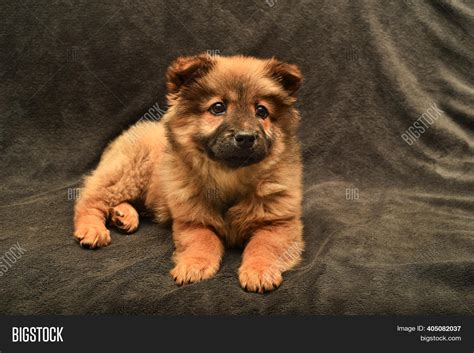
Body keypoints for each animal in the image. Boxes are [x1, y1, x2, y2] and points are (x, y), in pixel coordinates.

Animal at [74, 54, 304, 292]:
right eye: (218, 107)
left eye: (261, 111)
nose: (246, 137)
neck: (229, 176)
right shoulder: (193, 221)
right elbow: (203, 241)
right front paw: (194, 265)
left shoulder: (279, 223)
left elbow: (263, 246)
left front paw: (259, 271)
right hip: (127, 173)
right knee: (89, 201)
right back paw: (93, 229)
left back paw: (123, 215)